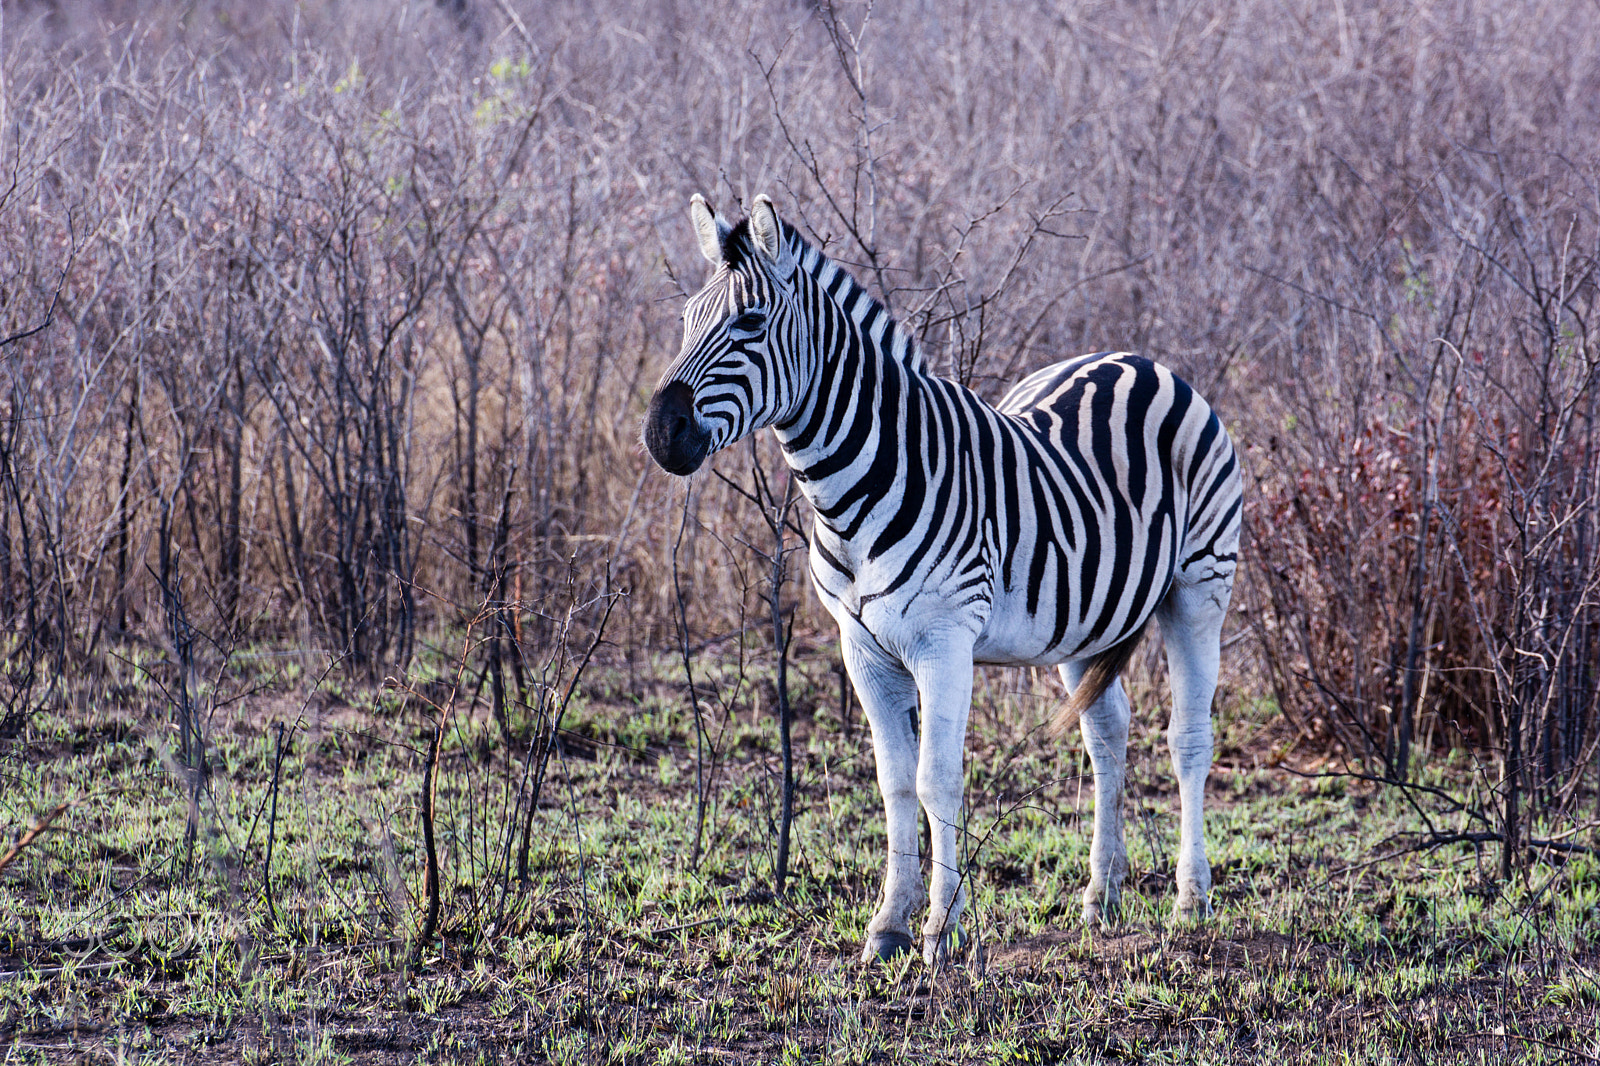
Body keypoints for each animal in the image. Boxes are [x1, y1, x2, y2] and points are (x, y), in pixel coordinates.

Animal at [643, 192, 1241, 960]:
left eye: (750, 322)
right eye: (687, 319)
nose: (660, 434)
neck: (855, 489)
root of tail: (1138, 359)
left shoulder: (945, 643)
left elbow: (937, 781)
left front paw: (940, 928)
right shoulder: (863, 649)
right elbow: (895, 785)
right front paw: (888, 925)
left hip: (1199, 588)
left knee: (1188, 739)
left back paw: (1192, 899)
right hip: (1088, 618)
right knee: (1107, 732)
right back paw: (1100, 895)